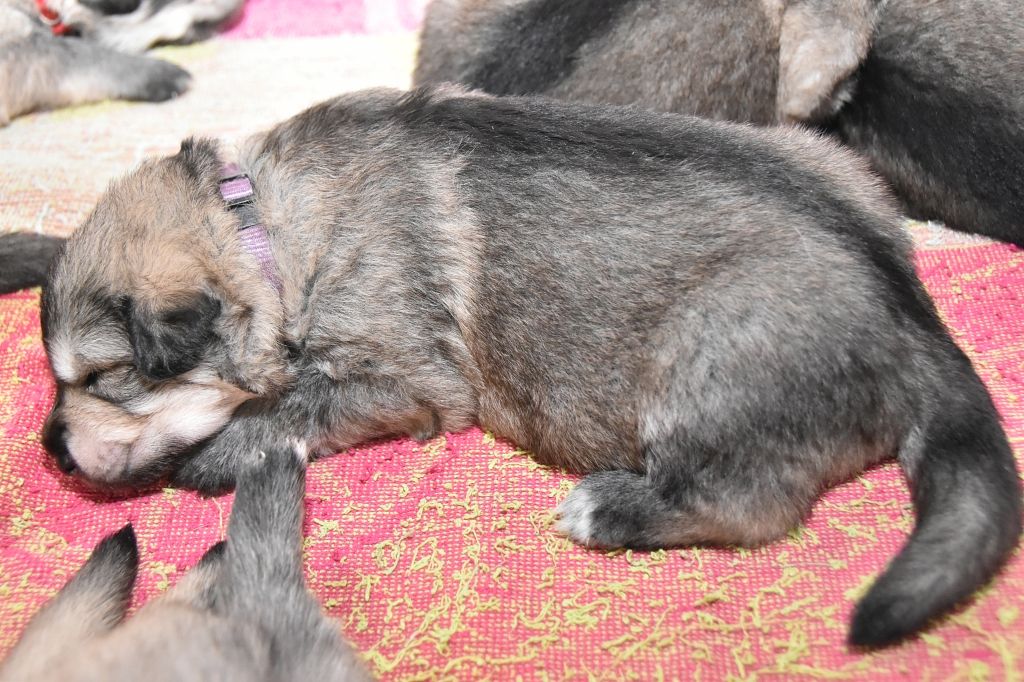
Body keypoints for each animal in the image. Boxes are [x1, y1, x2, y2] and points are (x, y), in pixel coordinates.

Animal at [20, 85, 1021, 646]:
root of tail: (918, 324)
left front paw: (213, 455)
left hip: (712, 356)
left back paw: (610, 509)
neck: (258, 223)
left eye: (104, 379)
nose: (52, 453)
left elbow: (292, 404)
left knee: (751, 502)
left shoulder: (405, 378)